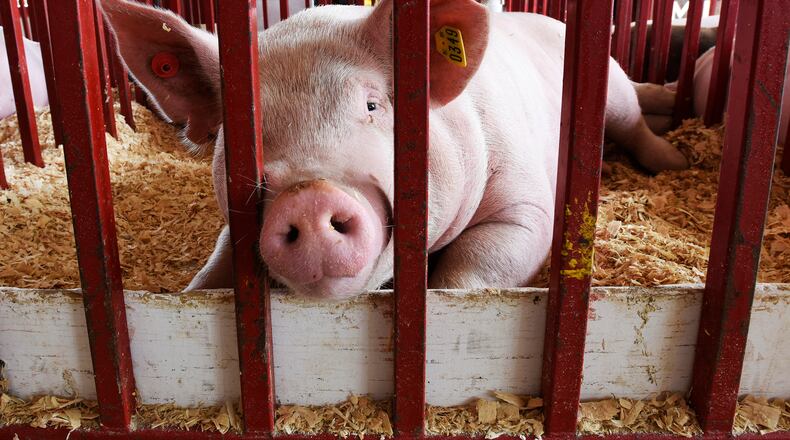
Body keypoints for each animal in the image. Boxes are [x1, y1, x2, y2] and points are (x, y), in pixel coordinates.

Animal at [101, 0, 688, 299]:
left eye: (372, 105)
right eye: (243, 133)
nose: (308, 196)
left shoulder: (526, 206)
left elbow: (473, 270)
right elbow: (211, 275)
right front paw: (190, 294)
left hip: (612, 91)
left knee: (636, 120)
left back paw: (677, 156)